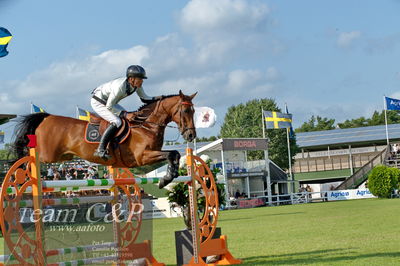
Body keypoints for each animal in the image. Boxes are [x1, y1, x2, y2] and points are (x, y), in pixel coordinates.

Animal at [13, 90, 198, 188]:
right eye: (185, 111)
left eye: (194, 111)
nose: (191, 135)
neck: (146, 125)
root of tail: (46, 117)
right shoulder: (142, 157)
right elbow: (171, 154)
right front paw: (165, 179)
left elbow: (175, 154)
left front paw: (169, 176)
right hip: (47, 155)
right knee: (27, 159)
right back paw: (20, 176)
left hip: (62, 156)